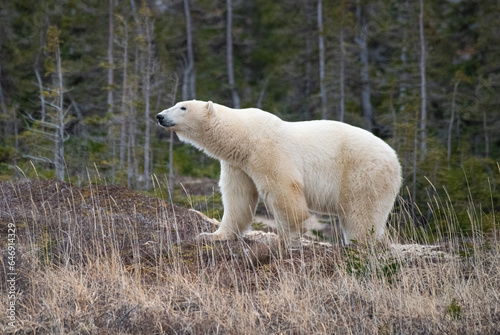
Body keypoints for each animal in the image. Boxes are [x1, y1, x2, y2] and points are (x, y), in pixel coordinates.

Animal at [156, 101, 402, 245]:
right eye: (175, 104)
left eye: (182, 107)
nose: (159, 116)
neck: (243, 136)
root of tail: (394, 158)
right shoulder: (237, 164)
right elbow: (238, 199)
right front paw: (212, 235)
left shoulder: (267, 150)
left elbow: (283, 189)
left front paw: (283, 236)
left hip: (363, 172)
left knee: (361, 213)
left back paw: (358, 244)